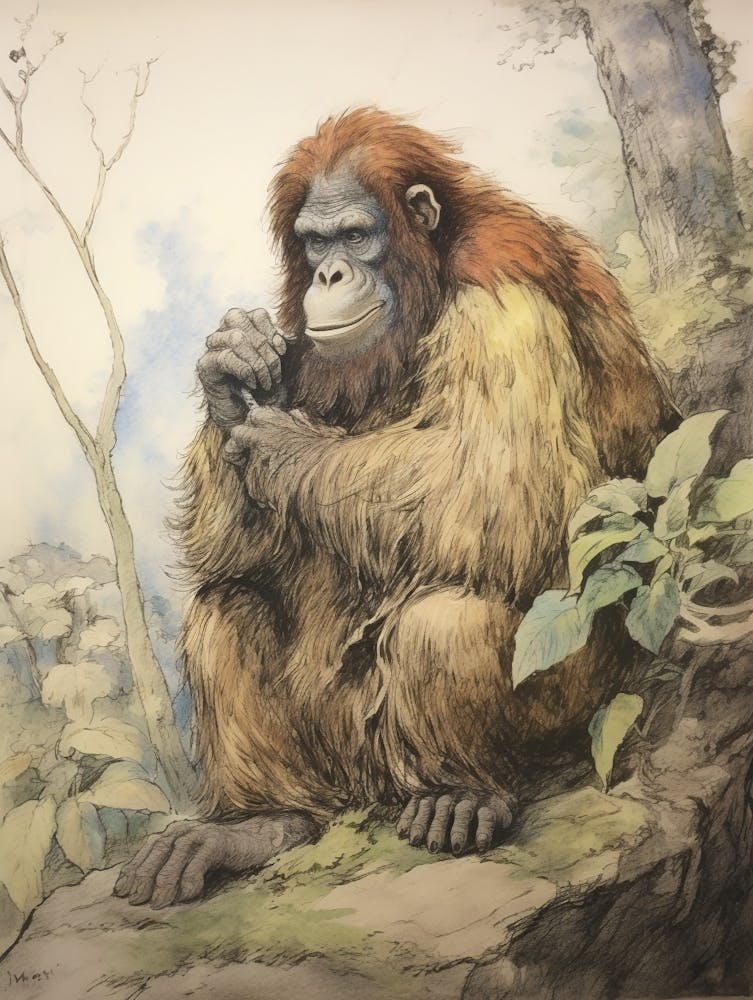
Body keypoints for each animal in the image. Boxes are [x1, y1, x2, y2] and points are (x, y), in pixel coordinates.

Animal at [114, 108, 677, 908]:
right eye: (314, 242)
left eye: (354, 235)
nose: (328, 274)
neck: (427, 279)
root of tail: (369, 793)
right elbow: (243, 550)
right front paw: (229, 367)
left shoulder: (502, 295)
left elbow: (505, 484)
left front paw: (290, 450)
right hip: (338, 756)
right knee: (227, 605)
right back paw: (256, 822)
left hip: (569, 702)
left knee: (444, 618)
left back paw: (461, 792)